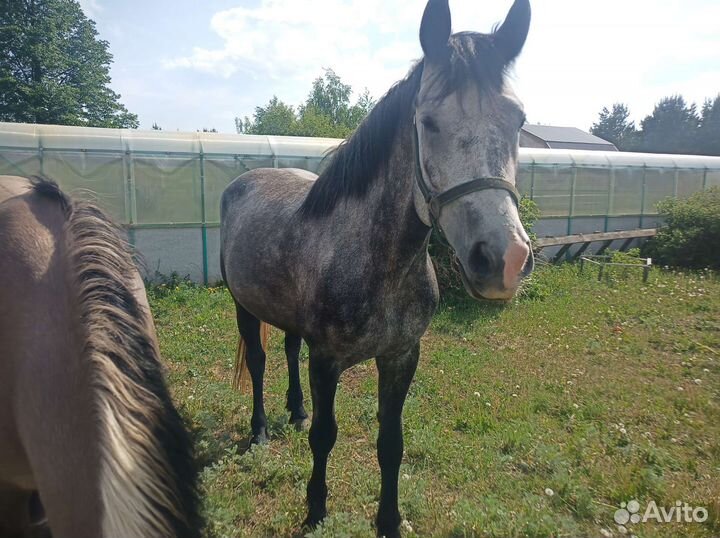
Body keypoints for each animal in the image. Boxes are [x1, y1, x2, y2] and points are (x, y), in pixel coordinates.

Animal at [220, 0, 533, 535]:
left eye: (518, 120)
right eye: (429, 123)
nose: (503, 260)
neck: (380, 264)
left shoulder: (402, 356)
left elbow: (392, 443)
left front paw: (389, 519)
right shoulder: (327, 361)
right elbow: (325, 436)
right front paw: (316, 509)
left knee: (287, 349)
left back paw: (295, 410)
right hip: (244, 304)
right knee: (258, 363)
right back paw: (260, 429)